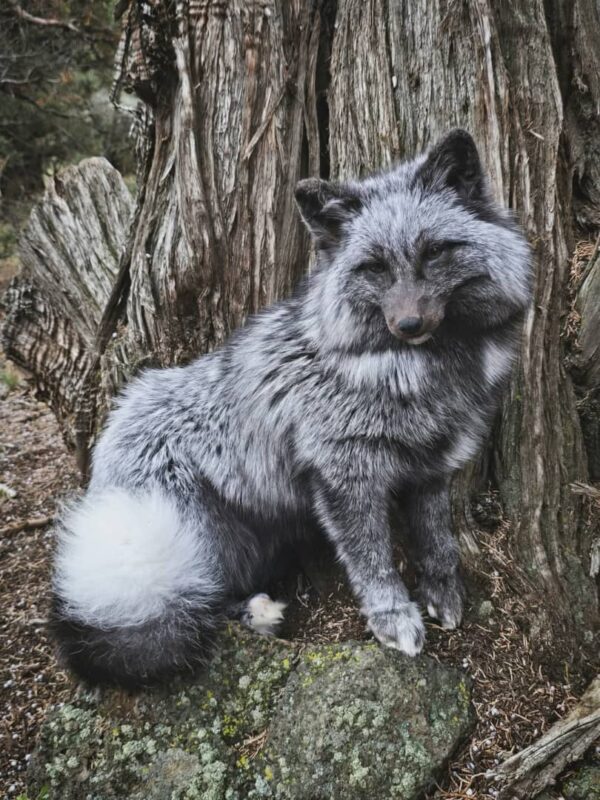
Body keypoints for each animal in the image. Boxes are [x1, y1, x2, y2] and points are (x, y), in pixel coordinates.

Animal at [51, 130, 532, 689]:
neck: (421, 371)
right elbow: (372, 561)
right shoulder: (344, 474)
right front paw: (393, 618)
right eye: (374, 267)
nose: (408, 325)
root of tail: (104, 454)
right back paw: (253, 614)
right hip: (187, 532)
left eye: (435, 253)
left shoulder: (432, 466)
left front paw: (441, 592)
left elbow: (438, 541)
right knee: (186, 609)